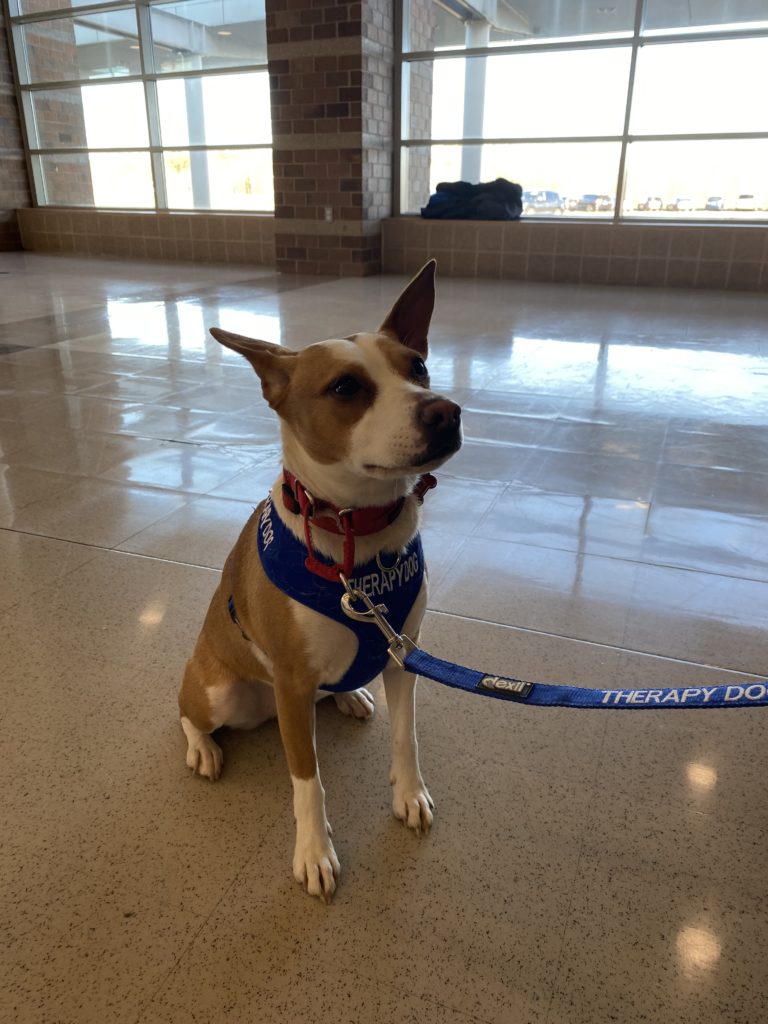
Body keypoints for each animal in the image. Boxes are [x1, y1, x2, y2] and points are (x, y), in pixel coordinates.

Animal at [180, 262, 462, 905]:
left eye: (418, 366)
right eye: (345, 388)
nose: (446, 411)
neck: (357, 539)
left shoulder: (404, 656)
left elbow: (406, 738)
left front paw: (409, 794)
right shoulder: (290, 681)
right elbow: (307, 781)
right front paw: (314, 852)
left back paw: (349, 695)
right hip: (221, 691)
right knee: (187, 712)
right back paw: (203, 746)